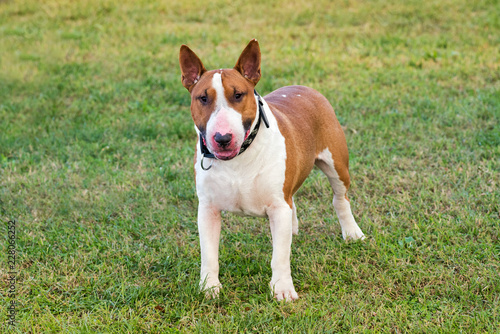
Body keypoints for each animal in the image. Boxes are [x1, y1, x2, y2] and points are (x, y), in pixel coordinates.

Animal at [179, 39, 364, 302]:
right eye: (202, 98)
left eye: (238, 95)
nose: (222, 138)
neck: (239, 157)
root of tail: (305, 87)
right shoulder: (207, 208)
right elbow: (209, 254)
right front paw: (209, 287)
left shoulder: (277, 206)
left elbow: (280, 256)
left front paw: (283, 289)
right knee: (293, 200)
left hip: (336, 164)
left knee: (340, 199)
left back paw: (352, 233)